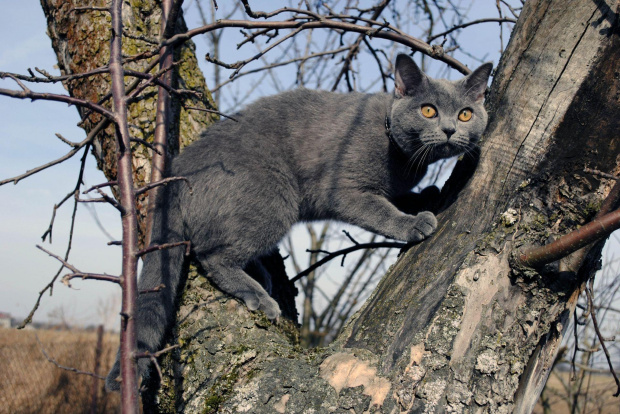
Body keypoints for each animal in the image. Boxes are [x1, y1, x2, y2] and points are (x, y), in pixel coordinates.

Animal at [108, 54, 494, 388]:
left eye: (465, 114)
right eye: (428, 110)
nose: (449, 129)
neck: (403, 157)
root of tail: (178, 170)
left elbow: (395, 196)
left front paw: (424, 195)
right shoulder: (344, 190)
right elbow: (379, 209)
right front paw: (413, 223)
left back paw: (261, 275)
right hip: (274, 198)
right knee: (211, 255)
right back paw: (258, 295)